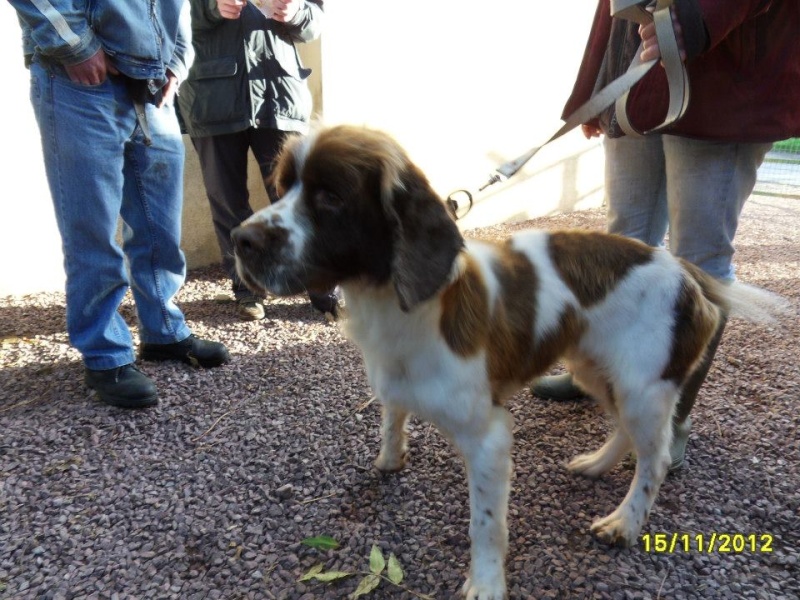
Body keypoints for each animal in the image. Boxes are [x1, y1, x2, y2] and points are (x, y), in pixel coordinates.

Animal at [231, 124, 788, 596]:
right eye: (282, 187)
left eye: (330, 196)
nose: (240, 239)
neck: (403, 305)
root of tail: (684, 269)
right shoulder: (394, 380)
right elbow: (392, 417)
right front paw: (390, 459)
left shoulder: (489, 437)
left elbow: (485, 525)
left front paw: (485, 584)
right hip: (595, 368)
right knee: (626, 432)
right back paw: (596, 465)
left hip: (645, 387)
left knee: (655, 459)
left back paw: (625, 522)